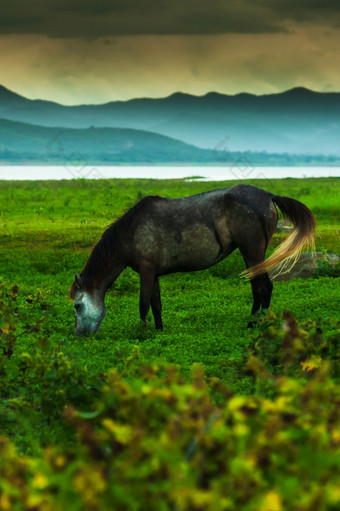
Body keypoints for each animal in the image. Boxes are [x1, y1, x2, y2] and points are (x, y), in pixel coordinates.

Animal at [69, 184, 316, 336]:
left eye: (78, 305)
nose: (79, 334)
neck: (129, 234)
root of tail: (268, 195)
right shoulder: (154, 273)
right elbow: (156, 305)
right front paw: (159, 331)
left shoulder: (146, 271)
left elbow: (143, 304)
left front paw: (141, 333)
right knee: (258, 288)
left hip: (252, 252)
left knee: (263, 287)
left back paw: (254, 323)